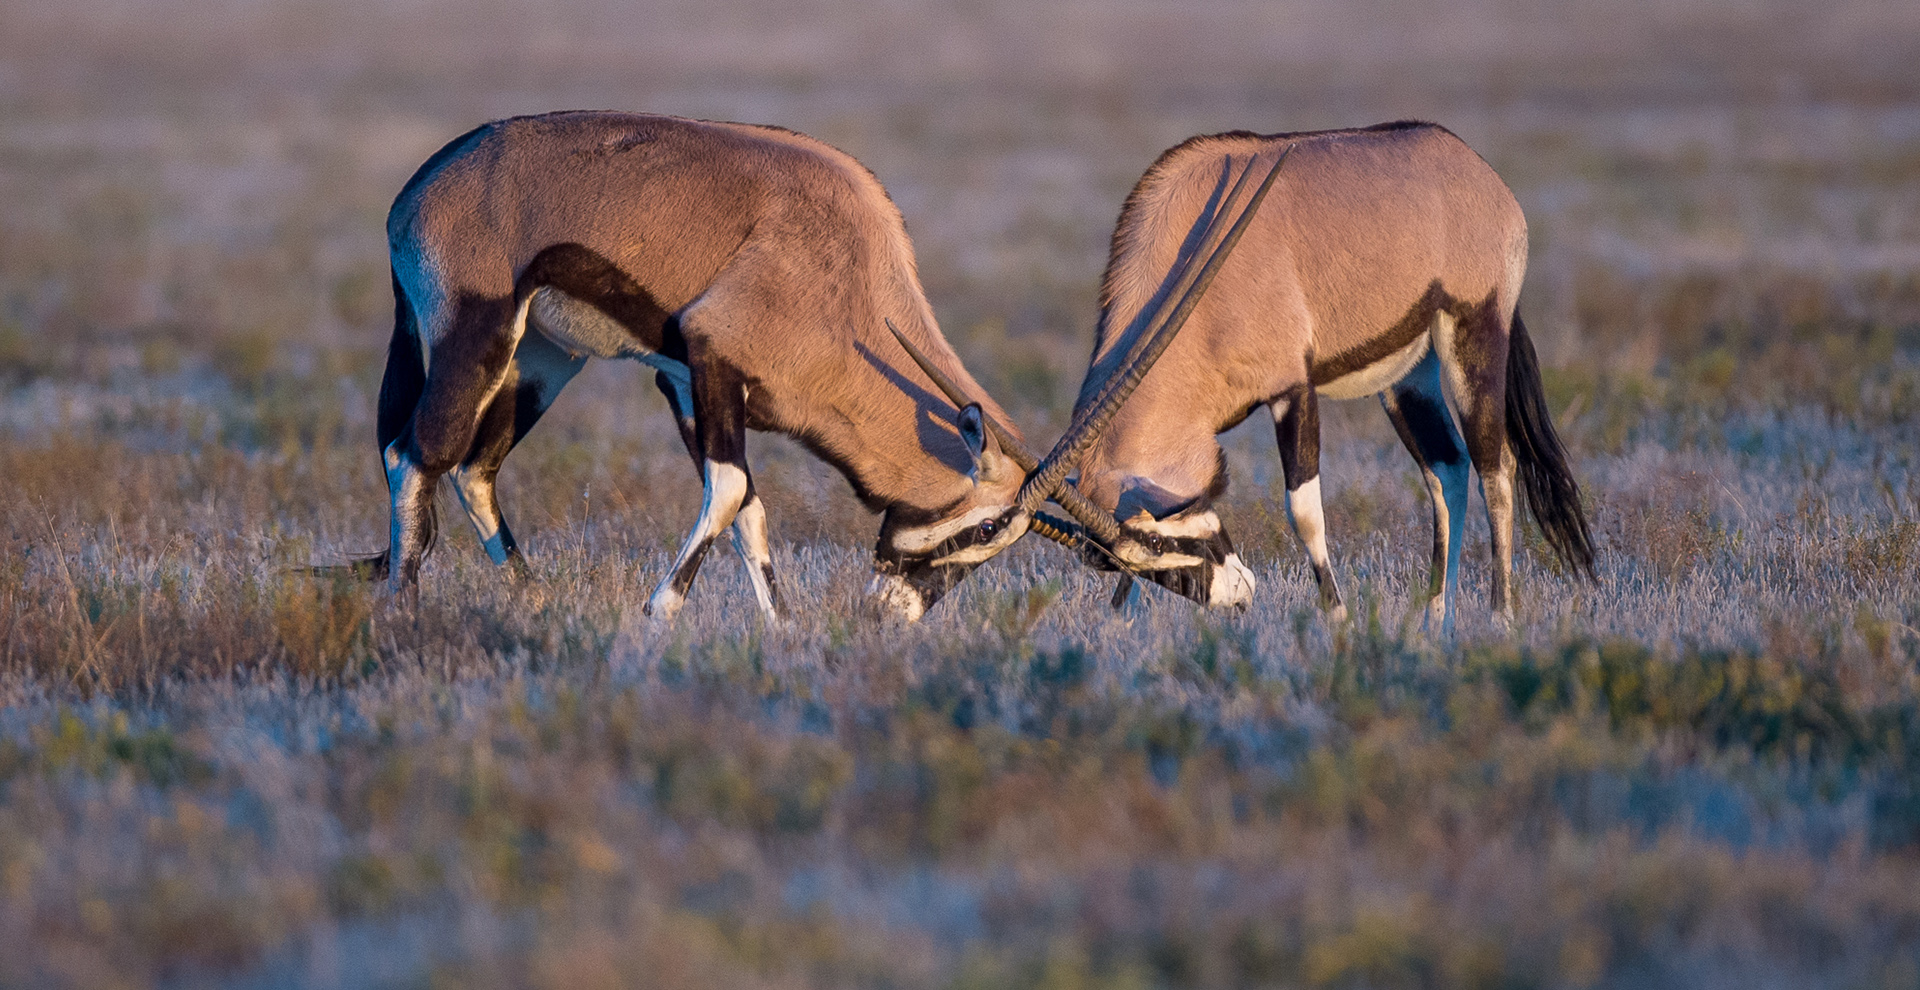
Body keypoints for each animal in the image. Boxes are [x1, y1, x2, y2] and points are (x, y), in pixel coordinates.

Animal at [336, 114, 1052, 617]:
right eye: (989, 525)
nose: (895, 615)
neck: (854, 280)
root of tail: (418, 191)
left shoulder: (686, 382)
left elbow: (749, 512)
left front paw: (783, 632)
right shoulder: (713, 360)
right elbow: (732, 491)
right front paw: (659, 612)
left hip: (543, 359)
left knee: (473, 470)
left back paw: (531, 600)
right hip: (476, 334)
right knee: (416, 456)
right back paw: (405, 616)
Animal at [1029, 123, 1597, 625]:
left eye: (1157, 539)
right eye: (1137, 556)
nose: (1237, 597)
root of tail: (1480, 173)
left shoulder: (1292, 390)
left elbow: (1303, 511)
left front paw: (1338, 621)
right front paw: (1117, 625)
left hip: (1473, 336)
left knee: (1495, 470)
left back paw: (1501, 621)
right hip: (1408, 376)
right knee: (1448, 469)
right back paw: (1435, 628)